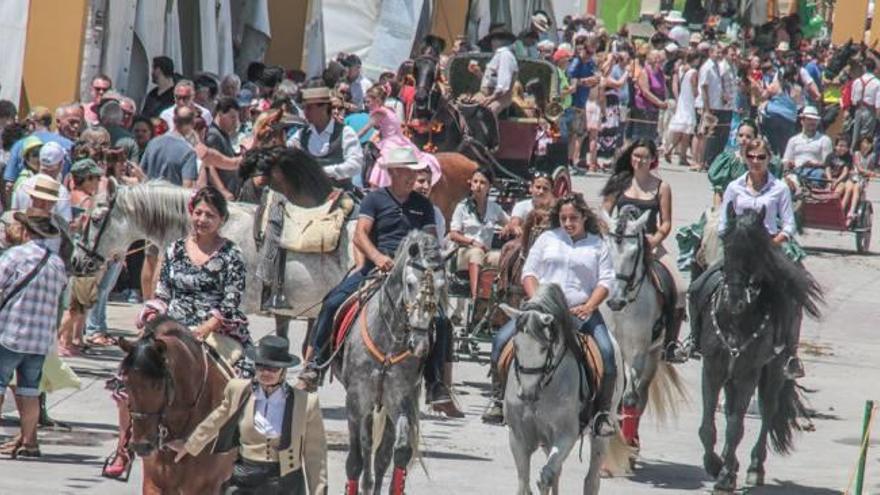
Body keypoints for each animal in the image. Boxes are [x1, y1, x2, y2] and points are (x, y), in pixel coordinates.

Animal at [336, 232, 450, 495]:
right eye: (409, 283)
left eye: (441, 286)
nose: (419, 344)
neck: (389, 342)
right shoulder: (356, 400)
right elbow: (355, 459)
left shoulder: (401, 398)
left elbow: (398, 452)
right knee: (367, 445)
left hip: (386, 405)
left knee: (381, 454)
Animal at [498, 282, 628, 495]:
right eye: (515, 345)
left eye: (544, 347)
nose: (527, 393)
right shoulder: (518, 438)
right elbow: (525, 483)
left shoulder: (566, 435)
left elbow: (545, 477)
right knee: (557, 473)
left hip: (600, 435)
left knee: (591, 480)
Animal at [604, 205, 688, 464]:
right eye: (607, 251)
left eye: (634, 254)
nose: (615, 301)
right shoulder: (616, 347)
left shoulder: (639, 351)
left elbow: (631, 397)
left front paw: (625, 450)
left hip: (653, 355)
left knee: (640, 396)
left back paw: (633, 444)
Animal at [688, 203, 824, 494]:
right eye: (727, 244)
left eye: (757, 249)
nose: (734, 300)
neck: (735, 319)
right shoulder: (713, 368)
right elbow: (708, 426)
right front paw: (715, 465)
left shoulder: (749, 373)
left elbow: (736, 428)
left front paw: (724, 476)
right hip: (733, 375)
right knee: (731, 412)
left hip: (773, 371)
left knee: (768, 411)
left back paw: (753, 468)